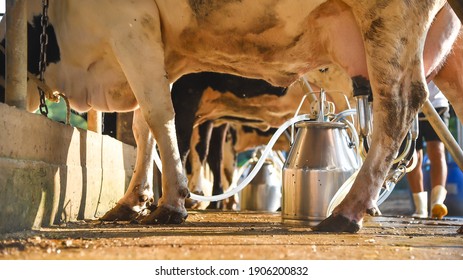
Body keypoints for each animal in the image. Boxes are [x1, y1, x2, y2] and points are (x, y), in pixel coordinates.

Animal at [0, 0, 463, 233]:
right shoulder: (163, 50)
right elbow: (143, 126)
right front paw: (133, 201)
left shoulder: (133, 24)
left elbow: (160, 116)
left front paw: (173, 202)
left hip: (387, 18)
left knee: (398, 103)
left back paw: (347, 211)